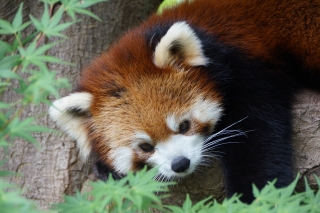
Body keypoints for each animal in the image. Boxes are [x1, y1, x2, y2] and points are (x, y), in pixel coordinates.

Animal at [49, 0, 320, 203]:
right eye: (145, 146)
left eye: (184, 126)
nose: (180, 164)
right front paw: (107, 169)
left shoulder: (249, 70)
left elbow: (258, 141)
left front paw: (255, 198)